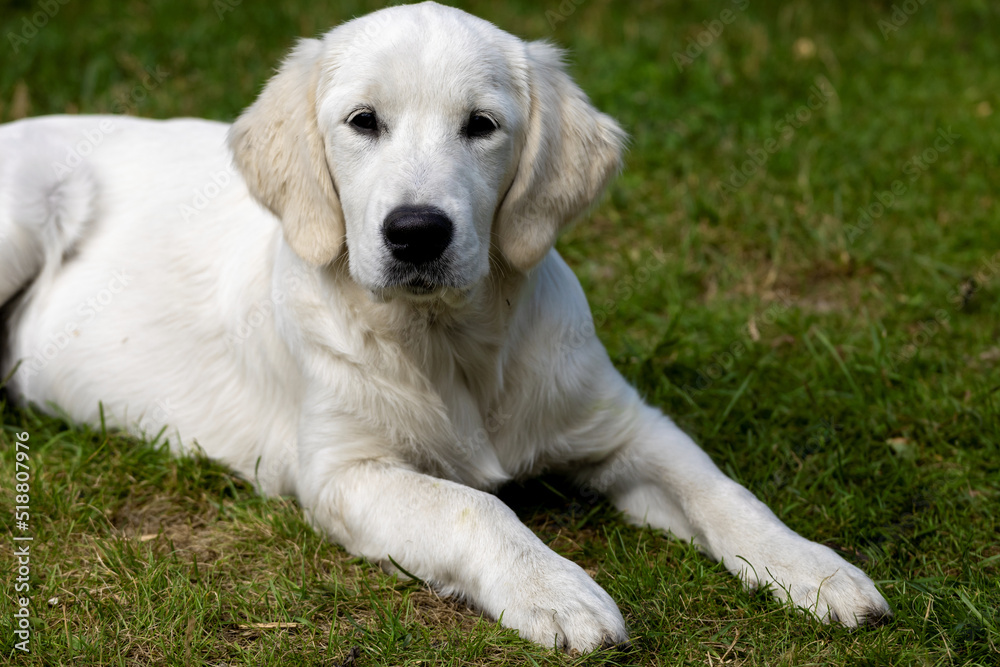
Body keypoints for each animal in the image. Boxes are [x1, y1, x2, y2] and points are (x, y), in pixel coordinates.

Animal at [0, 1, 892, 652]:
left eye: (482, 125)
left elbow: (722, 488)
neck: (449, 341)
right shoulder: (344, 474)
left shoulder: (622, 423)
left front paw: (815, 571)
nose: (417, 232)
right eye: (363, 121)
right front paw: (554, 588)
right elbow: (475, 507)